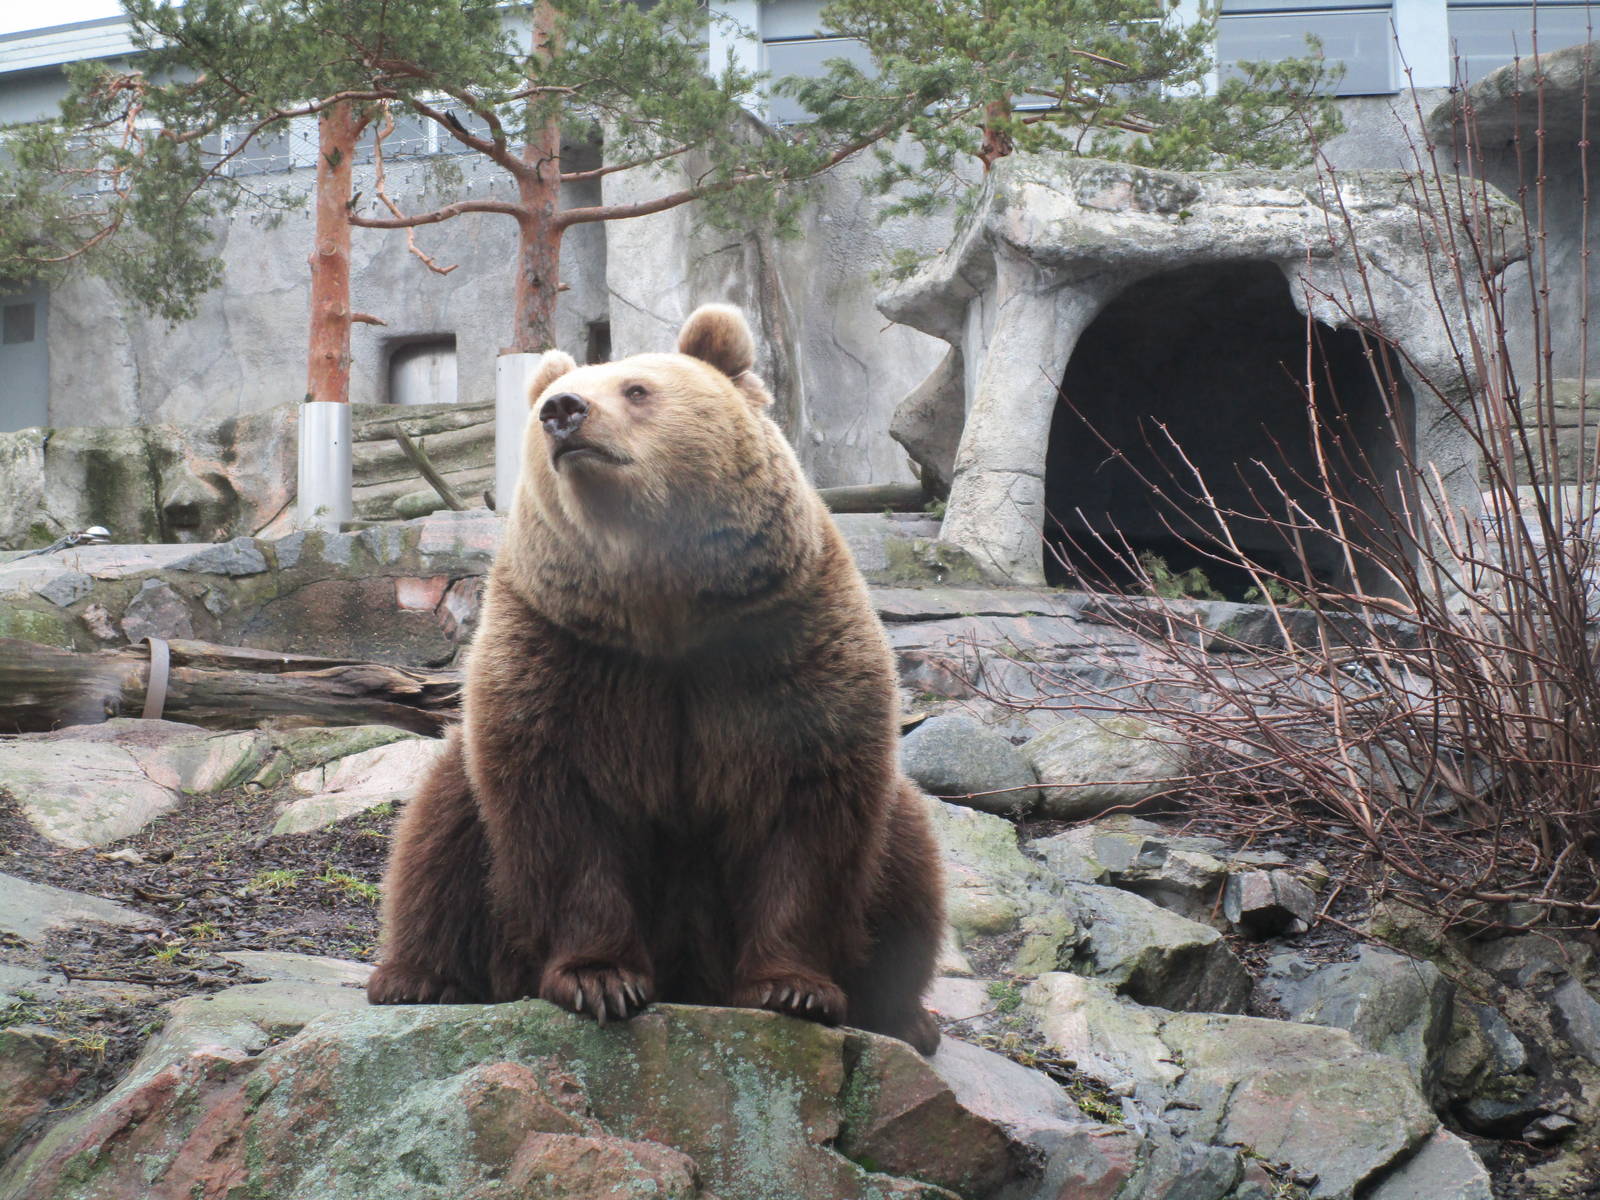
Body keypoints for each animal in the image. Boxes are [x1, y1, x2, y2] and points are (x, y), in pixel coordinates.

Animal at [366, 303, 945, 1054]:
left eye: (636, 388)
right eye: (562, 394)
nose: (562, 411)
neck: (661, 604)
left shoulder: (783, 641)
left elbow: (807, 813)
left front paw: (792, 988)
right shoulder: (565, 653)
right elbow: (565, 809)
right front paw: (600, 978)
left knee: (909, 864)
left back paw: (907, 1016)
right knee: (438, 838)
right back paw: (417, 977)